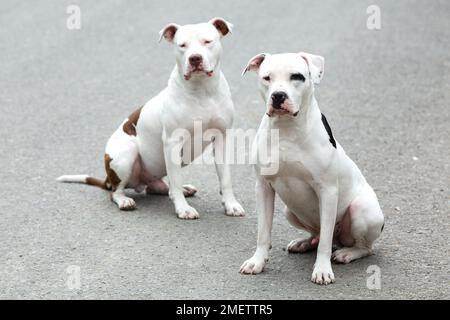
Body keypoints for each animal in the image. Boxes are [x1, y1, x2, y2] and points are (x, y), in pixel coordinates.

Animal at [58, 18, 246, 220]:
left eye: (207, 41)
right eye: (182, 45)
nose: (194, 58)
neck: (202, 91)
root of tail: (108, 178)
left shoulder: (221, 139)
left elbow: (225, 178)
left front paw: (231, 205)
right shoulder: (172, 142)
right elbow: (175, 181)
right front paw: (183, 209)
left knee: (160, 187)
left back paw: (181, 189)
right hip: (126, 155)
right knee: (117, 191)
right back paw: (124, 200)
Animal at [239, 51, 384, 284]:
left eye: (296, 76)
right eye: (267, 78)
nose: (278, 96)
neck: (287, 129)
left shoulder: (327, 190)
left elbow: (324, 242)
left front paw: (322, 269)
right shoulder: (263, 187)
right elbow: (263, 231)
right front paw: (257, 261)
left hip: (363, 210)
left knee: (360, 246)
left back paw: (347, 253)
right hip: (290, 210)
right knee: (317, 233)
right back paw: (304, 242)